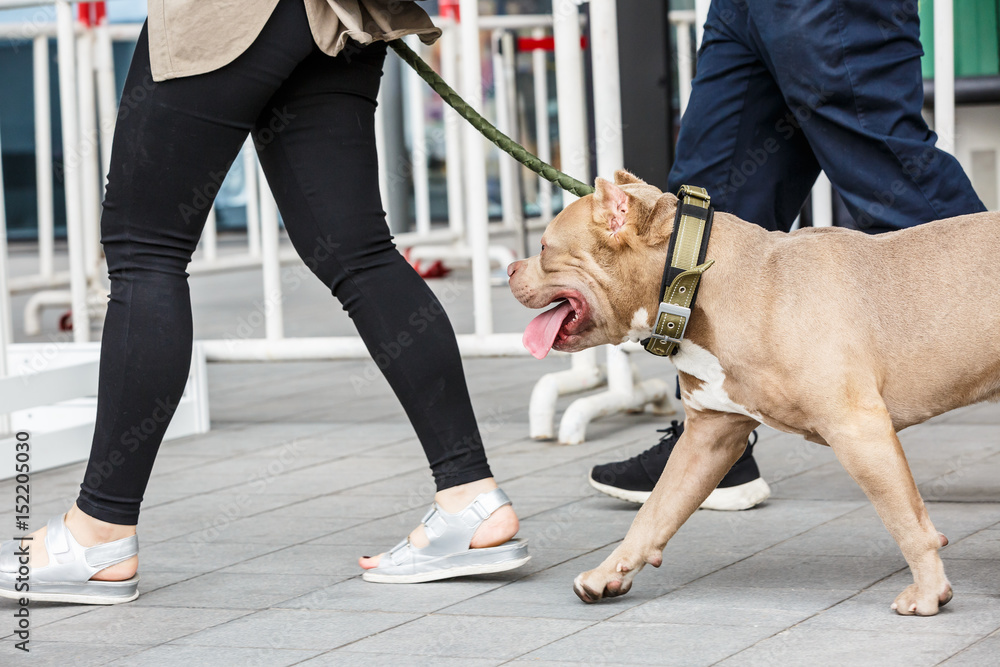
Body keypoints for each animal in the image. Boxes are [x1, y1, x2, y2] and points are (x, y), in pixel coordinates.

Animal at [508, 171, 1000, 616]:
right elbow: (654, 512)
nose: (509, 268)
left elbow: (904, 518)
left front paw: (929, 591)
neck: (693, 281)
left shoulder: (858, 429)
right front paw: (608, 572)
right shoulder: (709, 437)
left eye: (544, 248)